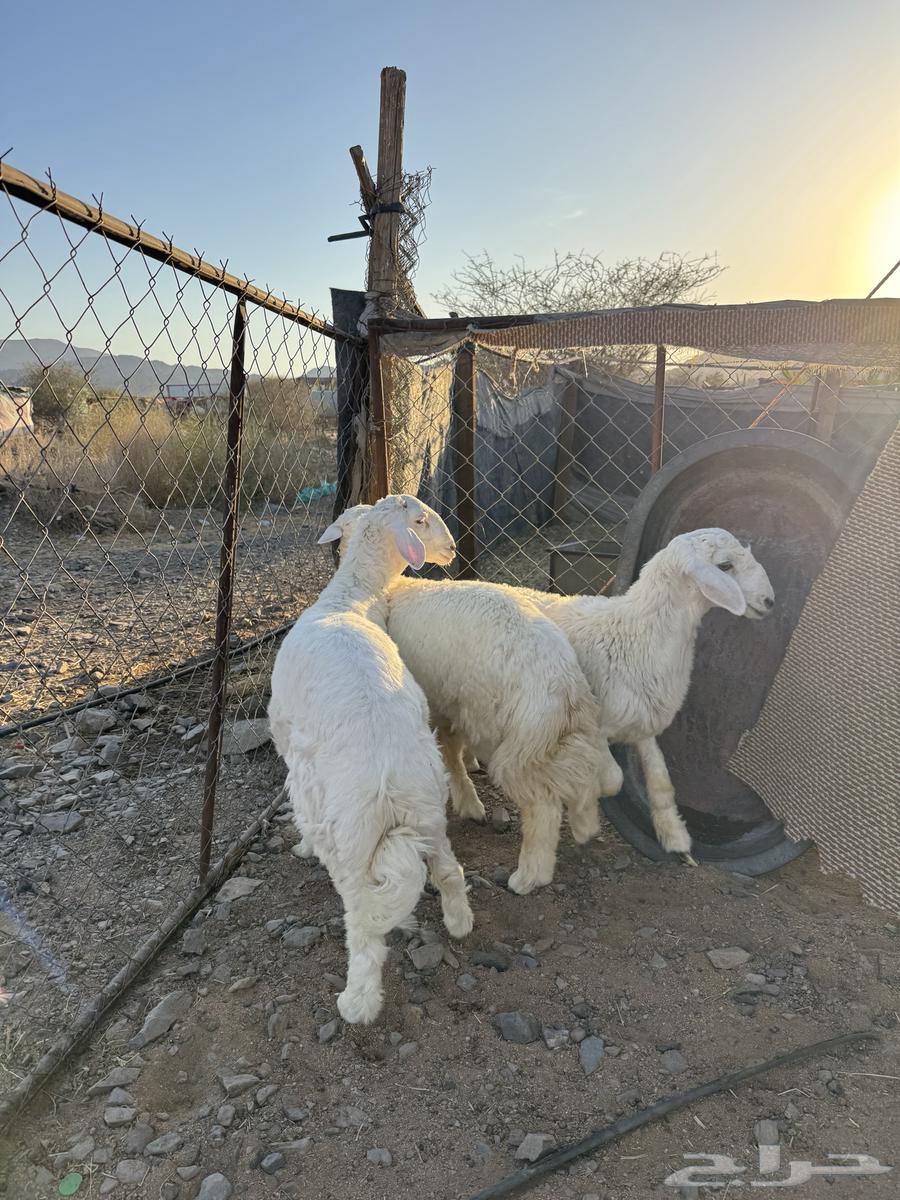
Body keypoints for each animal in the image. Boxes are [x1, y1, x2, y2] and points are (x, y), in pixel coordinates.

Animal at [268, 495, 473, 1024]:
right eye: (420, 520)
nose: (452, 549)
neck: (349, 600)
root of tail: (391, 788)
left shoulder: (283, 731)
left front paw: (299, 847)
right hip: (429, 815)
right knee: (448, 871)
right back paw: (460, 921)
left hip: (351, 843)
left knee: (361, 922)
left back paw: (358, 1001)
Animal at [484, 528, 775, 861]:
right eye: (725, 566)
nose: (769, 601)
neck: (636, 635)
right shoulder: (594, 725)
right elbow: (612, 779)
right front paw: (584, 819)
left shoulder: (644, 720)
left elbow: (661, 781)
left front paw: (674, 835)